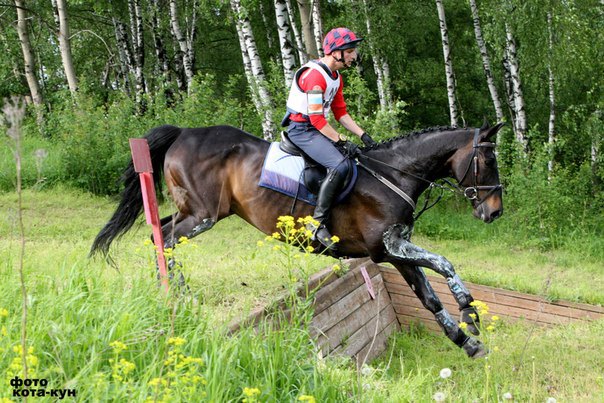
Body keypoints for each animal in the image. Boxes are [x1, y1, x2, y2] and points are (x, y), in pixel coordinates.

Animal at [89, 121, 504, 358]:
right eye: (488, 161)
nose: (495, 212)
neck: (393, 174)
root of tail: (184, 133)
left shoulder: (394, 252)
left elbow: (429, 297)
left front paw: (464, 338)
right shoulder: (387, 248)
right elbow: (443, 263)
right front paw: (469, 310)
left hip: (196, 211)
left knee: (157, 231)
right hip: (202, 214)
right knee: (166, 238)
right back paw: (177, 293)